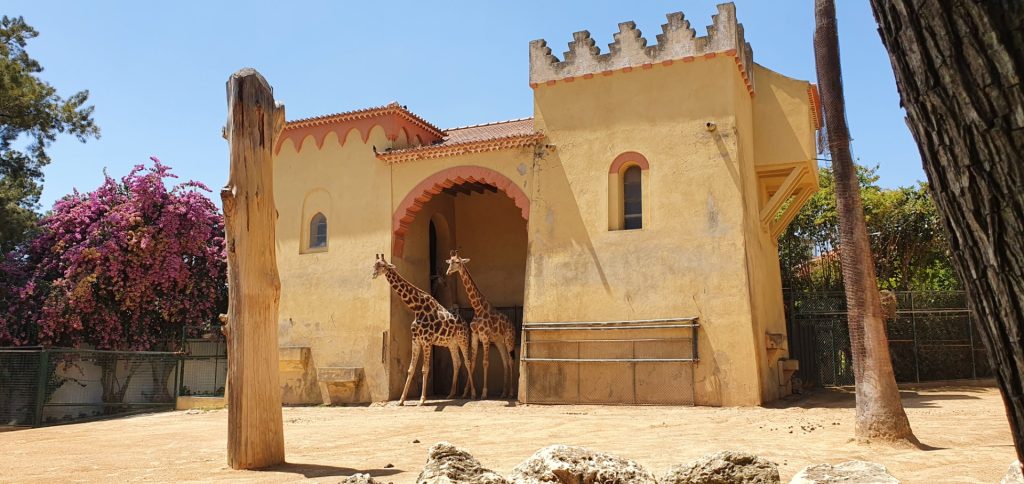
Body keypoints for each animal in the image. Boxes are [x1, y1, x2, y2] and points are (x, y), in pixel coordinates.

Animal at [372, 254, 475, 405]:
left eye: (383, 265)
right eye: (374, 264)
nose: (373, 274)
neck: (416, 307)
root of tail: (465, 323)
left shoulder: (426, 341)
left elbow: (425, 369)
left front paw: (422, 400)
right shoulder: (415, 340)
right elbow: (410, 369)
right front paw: (401, 400)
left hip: (463, 339)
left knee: (468, 362)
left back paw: (472, 394)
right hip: (451, 343)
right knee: (457, 362)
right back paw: (451, 394)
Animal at [445, 250, 517, 399]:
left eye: (458, 262)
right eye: (450, 262)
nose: (448, 272)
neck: (477, 308)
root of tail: (512, 325)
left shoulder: (485, 337)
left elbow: (485, 362)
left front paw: (483, 393)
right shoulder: (475, 337)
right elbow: (472, 363)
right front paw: (466, 393)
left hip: (509, 340)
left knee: (511, 361)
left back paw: (511, 392)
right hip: (499, 342)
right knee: (505, 361)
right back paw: (503, 393)